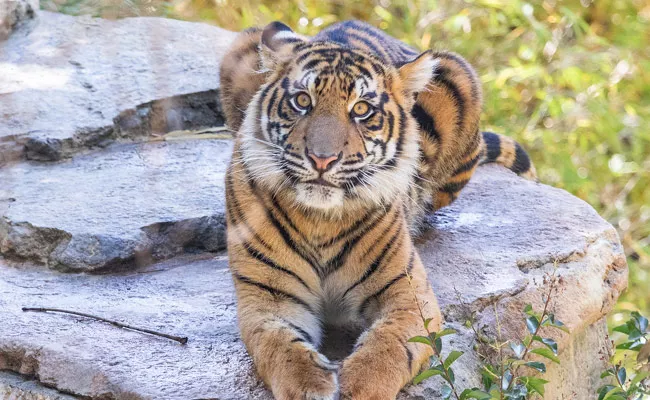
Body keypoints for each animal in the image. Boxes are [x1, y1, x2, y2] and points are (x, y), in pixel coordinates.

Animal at [220, 19, 536, 400]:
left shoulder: (407, 294)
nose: (322, 159)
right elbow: (280, 348)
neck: (319, 219)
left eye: (361, 110)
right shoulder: (267, 299)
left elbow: (387, 349)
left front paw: (359, 386)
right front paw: (310, 386)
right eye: (302, 101)